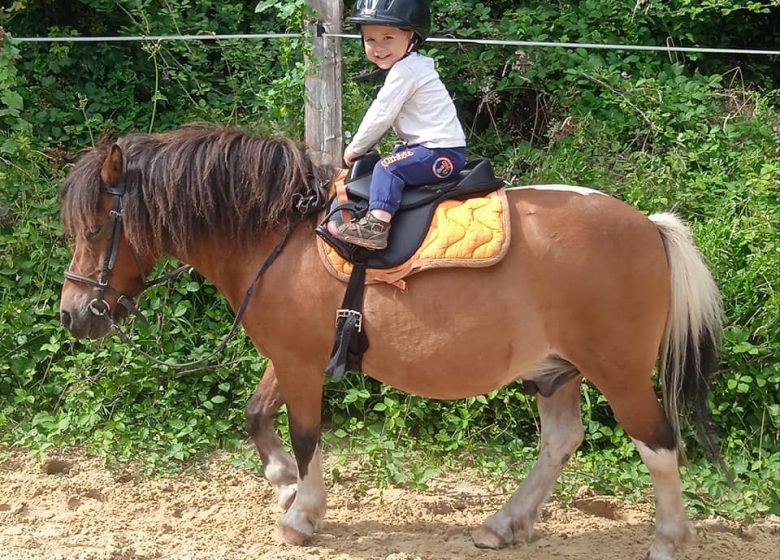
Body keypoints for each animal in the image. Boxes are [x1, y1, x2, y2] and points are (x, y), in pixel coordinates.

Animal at [58, 124, 722, 560]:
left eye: (92, 228)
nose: (73, 315)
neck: (277, 236)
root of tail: (649, 227)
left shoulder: (299, 362)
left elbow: (305, 436)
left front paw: (301, 514)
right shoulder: (289, 354)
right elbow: (255, 415)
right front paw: (284, 485)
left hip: (619, 371)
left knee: (659, 445)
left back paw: (668, 540)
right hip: (556, 368)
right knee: (561, 440)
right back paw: (505, 523)